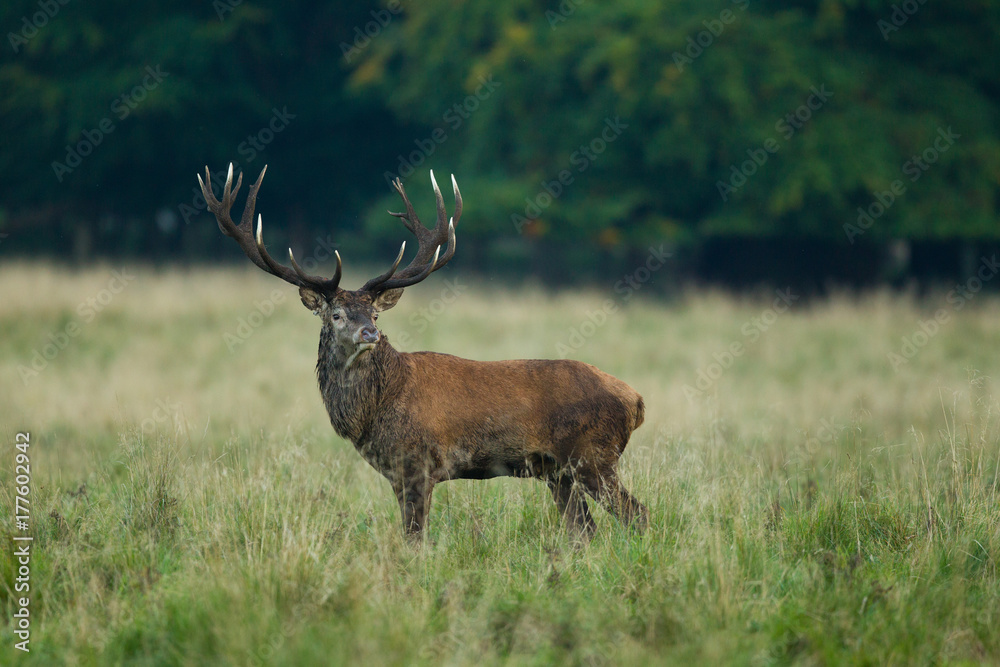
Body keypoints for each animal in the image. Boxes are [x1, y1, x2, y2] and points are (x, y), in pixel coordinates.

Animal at [197, 163, 649, 540]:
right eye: (337, 314)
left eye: (375, 314)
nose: (370, 334)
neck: (372, 412)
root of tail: (636, 400)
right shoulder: (398, 472)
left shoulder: (417, 463)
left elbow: (414, 538)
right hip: (558, 472)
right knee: (583, 531)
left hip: (592, 456)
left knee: (636, 514)